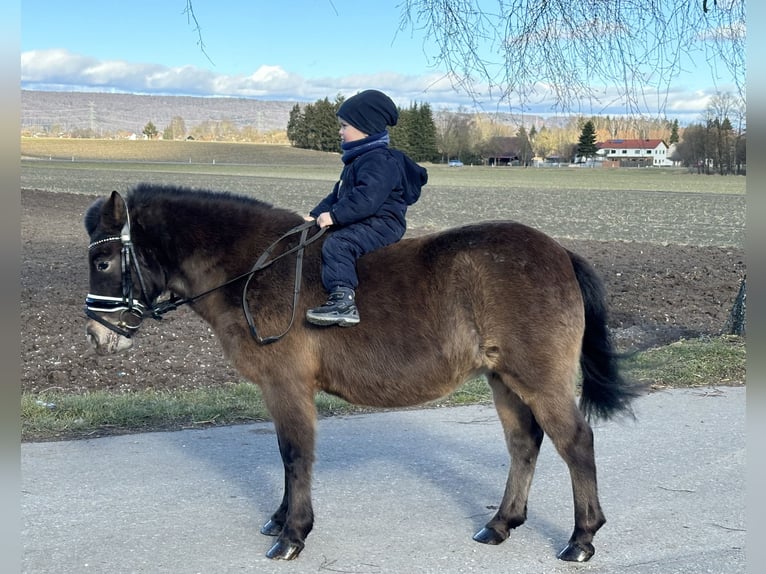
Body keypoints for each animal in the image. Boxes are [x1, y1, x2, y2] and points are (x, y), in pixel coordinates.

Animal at [84, 184, 644, 564]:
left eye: (106, 260)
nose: (96, 334)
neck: (256, 270)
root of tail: (559, 252)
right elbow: (286, 454)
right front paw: (280, 520)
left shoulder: (287, 385)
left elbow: (294, 454)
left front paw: (293, 534)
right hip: (503, 379)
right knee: (524, 444)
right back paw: (501, 523)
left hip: (538, 379)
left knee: (575, 442)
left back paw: (582, 538)